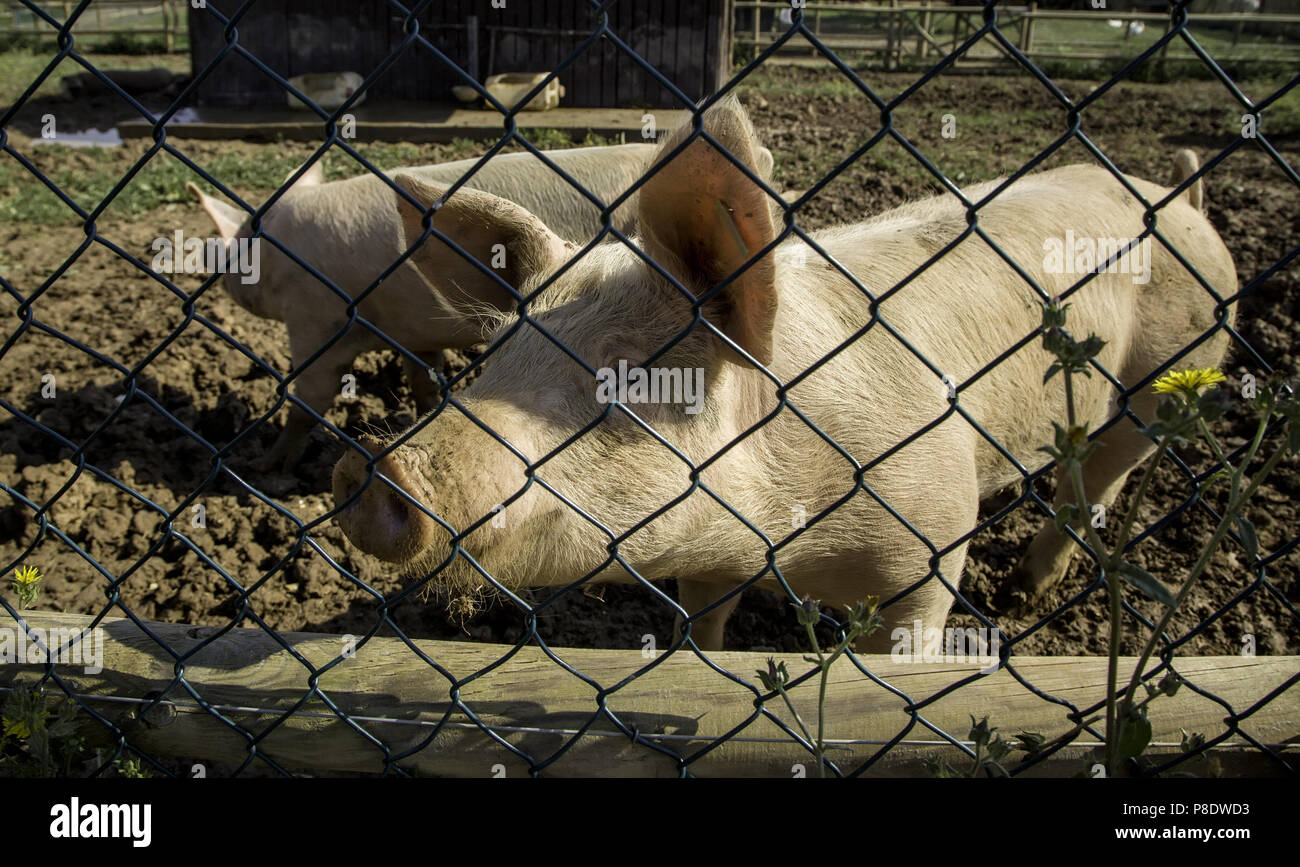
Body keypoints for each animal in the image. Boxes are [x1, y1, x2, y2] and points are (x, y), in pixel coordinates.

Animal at [330, 96, 1232, 649]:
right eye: (496, 356)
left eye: (631, 376)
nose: (379, 466)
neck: (779, 545)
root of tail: (1180, 200)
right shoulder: (708, 555)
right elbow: (704, 620)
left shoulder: (934, 544)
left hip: (1175, 373)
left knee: (1104, 477)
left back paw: (1021, 596)